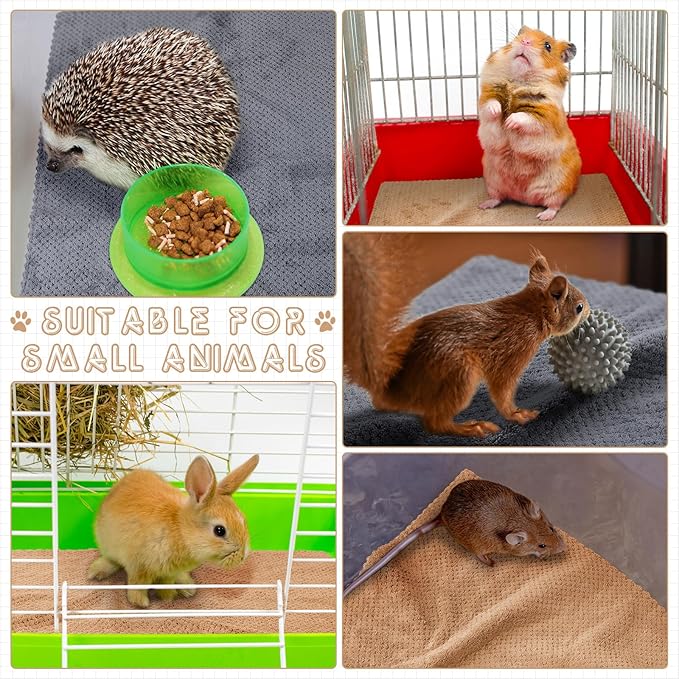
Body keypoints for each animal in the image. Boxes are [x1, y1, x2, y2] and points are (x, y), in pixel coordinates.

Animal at [87, 454, 259, 608]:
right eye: (219, 530)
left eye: (243, 520)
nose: (243, 556)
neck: (181, 531)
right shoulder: (139, 567)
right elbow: (137, 585)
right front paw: (141, 603)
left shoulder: (168, 573)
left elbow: (166, 584)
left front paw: (168, 597)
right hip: (108, 545)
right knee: (112, 561)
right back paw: (95, 572)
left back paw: (188, 587)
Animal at [344, 479, 566, 597]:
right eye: (542, 545)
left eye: (552, 528)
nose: (564, 549)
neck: (516, 520)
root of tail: (441, 515)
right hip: (476, 546)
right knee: (480, 557)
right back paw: (491, 562)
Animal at [477, 26, 582, 221]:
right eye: (519, 34)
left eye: (548, 46)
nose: (525, 41)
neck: (519, 79)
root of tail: (523, 198)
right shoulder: (487, 94)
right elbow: (490, 105)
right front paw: (499, 113)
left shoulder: (545, 114)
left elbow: (526, 117)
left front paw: (509, 122)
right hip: (492, 180)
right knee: (498, 197)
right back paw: (484, 205)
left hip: (558, 185)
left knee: (554, 204)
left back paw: (543, 216)